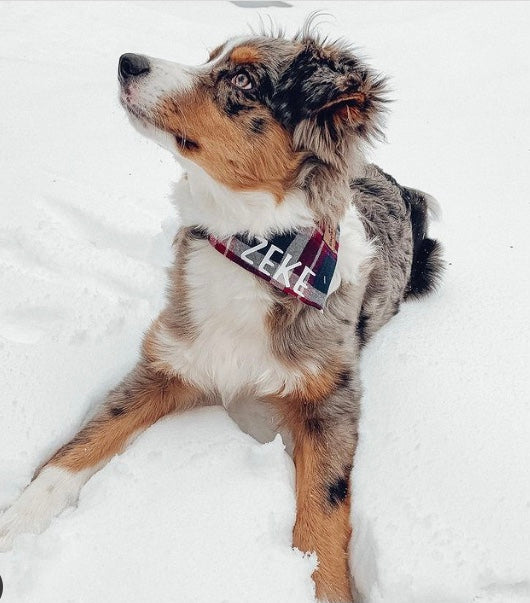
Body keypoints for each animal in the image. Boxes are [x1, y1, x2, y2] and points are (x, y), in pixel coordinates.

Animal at [0, 22, 440, 603]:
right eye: (211, 58)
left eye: (244, 79)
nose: (126, 61)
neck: (253, 246)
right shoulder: (167, 360)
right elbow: (82, 443)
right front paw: (15, 525)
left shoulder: (332, 397)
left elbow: (325, 505)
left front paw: (325, 586)